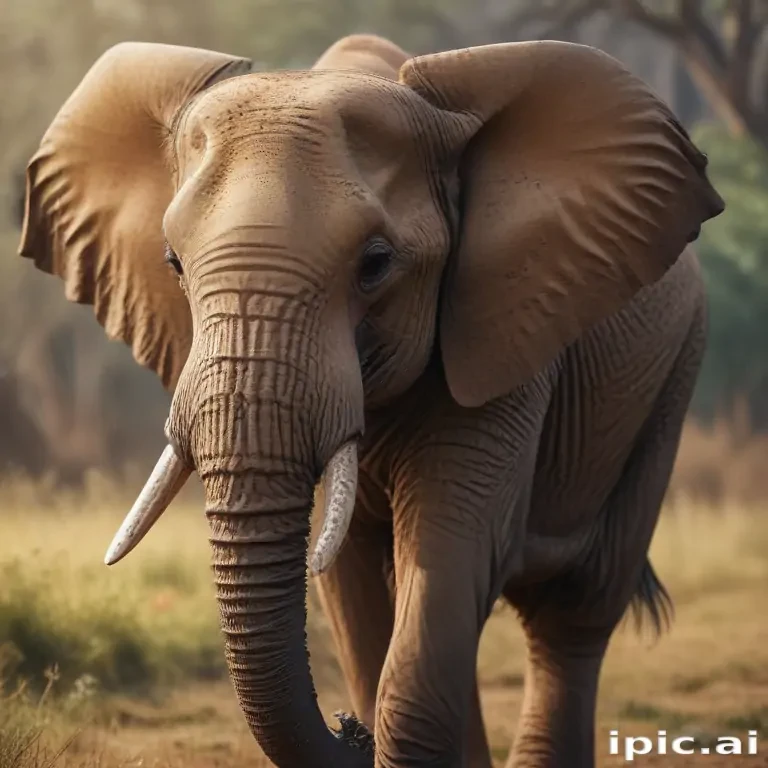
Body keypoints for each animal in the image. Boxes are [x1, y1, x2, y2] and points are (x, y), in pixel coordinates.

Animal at [17, 32, 723, 768]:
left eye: (376, 263)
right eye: (173, 264)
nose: (347, 730)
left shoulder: (504, 332)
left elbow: (452, 546)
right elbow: (350, 575)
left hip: (675, 374)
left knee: (573, 615)